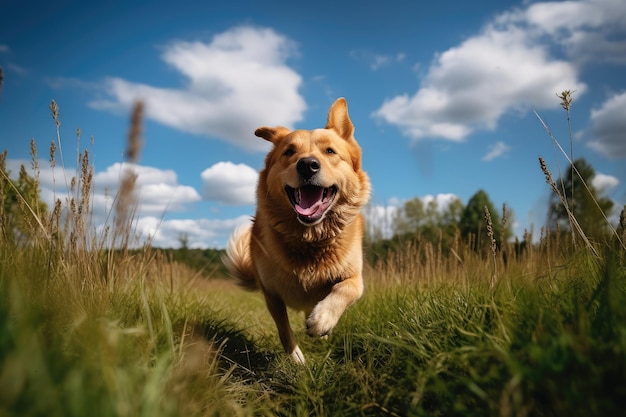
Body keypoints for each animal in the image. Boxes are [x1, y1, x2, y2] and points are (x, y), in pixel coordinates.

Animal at [223, 98, 368, 364]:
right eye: (289, 152)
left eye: (330, 151)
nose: (308, 165)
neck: (309, 239)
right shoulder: (271, 294)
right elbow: (284, 330)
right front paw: (297, 359)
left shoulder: (354, 276)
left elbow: (346, 288)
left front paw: (323, 320)